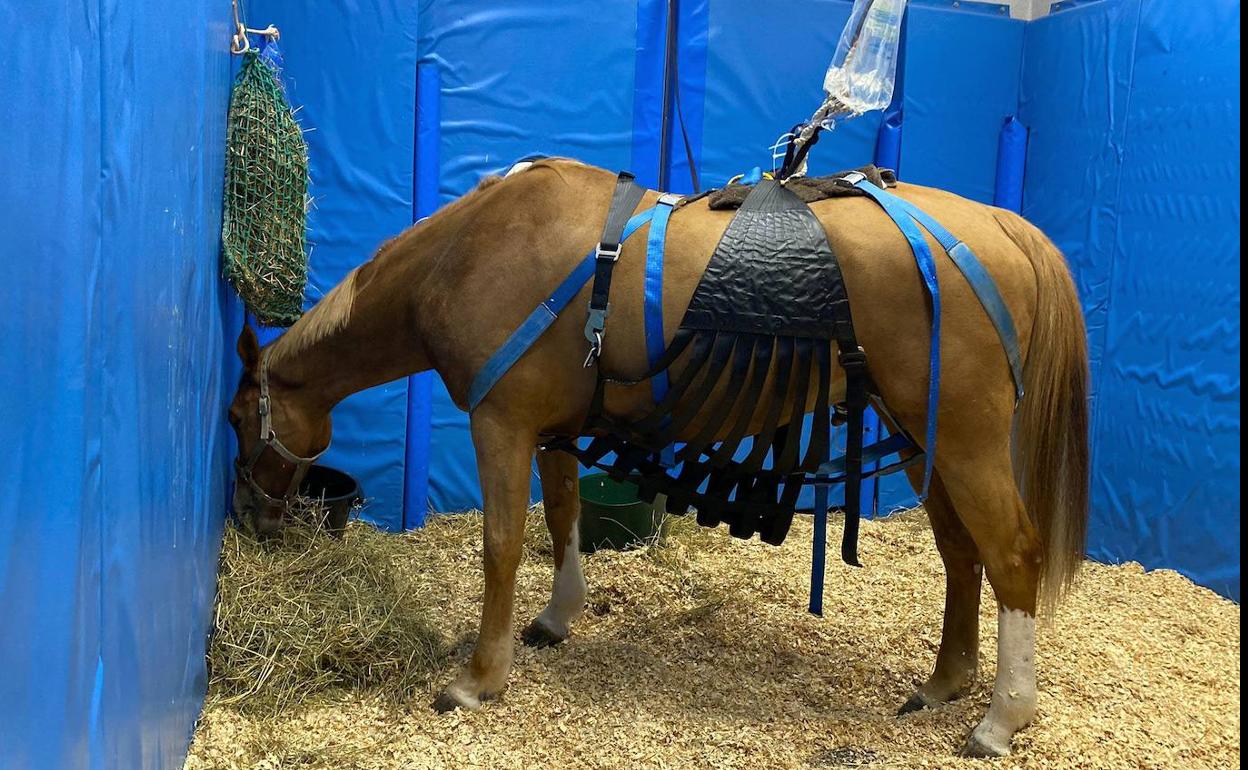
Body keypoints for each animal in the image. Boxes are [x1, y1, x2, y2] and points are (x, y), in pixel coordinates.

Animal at [229, 155, 1088, 758]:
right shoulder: (549, 428)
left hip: (967, 439)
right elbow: (562, 519)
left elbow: (502, 545)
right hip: (922, 437)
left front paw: (478, 679)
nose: (255, 523)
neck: (472, 251)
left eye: (238, 419)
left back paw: (1002, 717)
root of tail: (1001, 226)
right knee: (959, 553)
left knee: (1011, 554)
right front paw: (556, 617)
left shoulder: (501, 423)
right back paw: (946, 682)